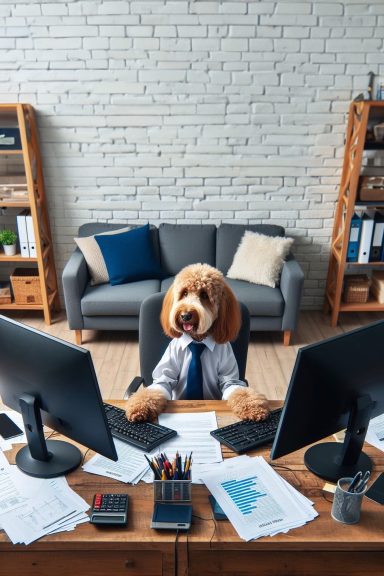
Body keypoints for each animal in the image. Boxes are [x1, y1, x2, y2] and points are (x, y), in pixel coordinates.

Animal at [124, 264, 268, 420]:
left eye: (204, 295)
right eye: (184, 293)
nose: (185, 315)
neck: (197, 341)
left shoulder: (229, 372)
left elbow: (237, 389)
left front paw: (254, 407)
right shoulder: (168, 365)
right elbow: (157, 386)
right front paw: (139, 406)